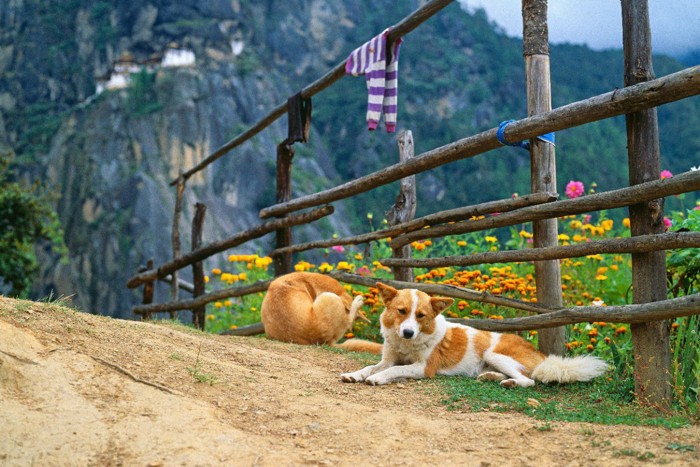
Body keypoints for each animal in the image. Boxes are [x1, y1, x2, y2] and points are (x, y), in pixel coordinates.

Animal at [342, 286, 608, 388]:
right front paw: (355, 374)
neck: (407, 344)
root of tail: (543, 356)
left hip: (494, 353)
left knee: (529, 380)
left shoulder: (423, 368)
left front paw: (378, 378)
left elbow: (394, 370)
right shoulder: (387, 358)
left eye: (420, 315)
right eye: (401, 311)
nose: (408, 332)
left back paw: (510, 383)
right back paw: (491, 376)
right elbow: (371, 366)